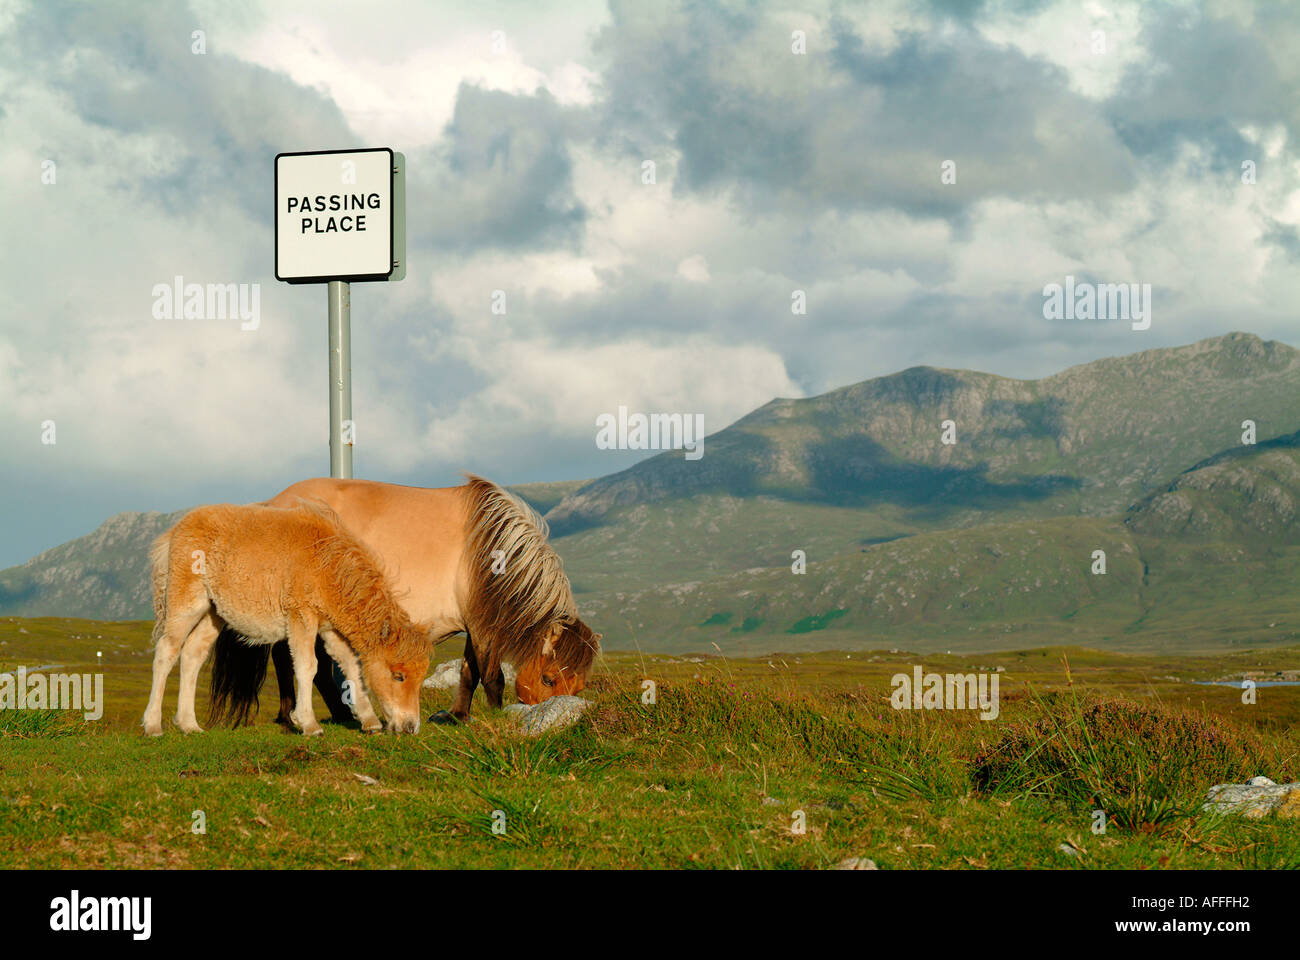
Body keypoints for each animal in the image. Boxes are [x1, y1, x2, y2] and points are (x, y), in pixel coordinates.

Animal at [143, 502, 431, 733]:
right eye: (398, 676)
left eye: (420, 678)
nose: (410, 727)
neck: (325, 563)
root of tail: (175, 531)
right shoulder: (301, 616)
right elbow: (307, 665)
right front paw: (308, 724)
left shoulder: (330, 628)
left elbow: (350, 663)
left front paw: (369, 721)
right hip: (187, 603)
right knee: (167, 650)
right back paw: (153, 725)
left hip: (213, 614)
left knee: (192, 653)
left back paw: (189, 725)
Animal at [210, 470, 600, 718]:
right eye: (548, 678)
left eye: (578, 686)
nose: (556, 713)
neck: (489, 545)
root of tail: (270, 503)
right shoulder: (483, 627)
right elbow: (491, 676)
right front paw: (498, 716)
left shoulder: (471, 622)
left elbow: (469, 672)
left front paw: (458, 716)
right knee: (289, 659)